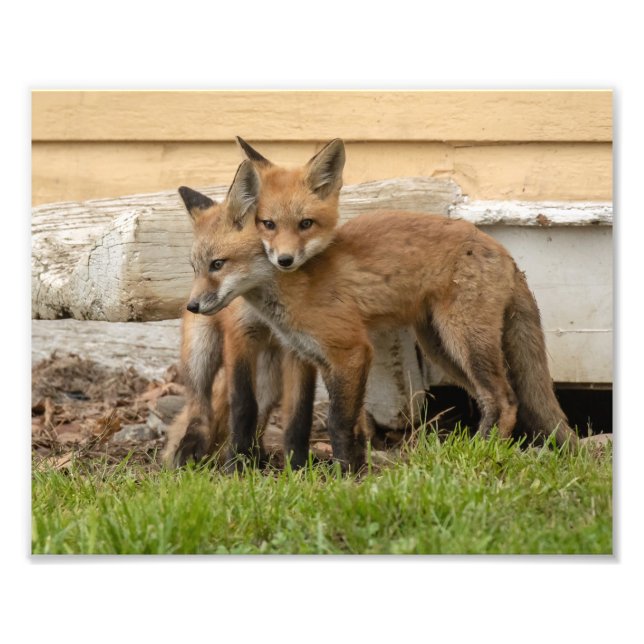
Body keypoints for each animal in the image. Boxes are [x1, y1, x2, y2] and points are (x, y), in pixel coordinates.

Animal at [181, 138, 579, 472]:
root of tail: (502, 250)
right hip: (442, 347)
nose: (192, 306)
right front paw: (346, 466)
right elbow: (335, 422)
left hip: (464, 339)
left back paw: (481, 452)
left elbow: (338, 422)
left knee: (506, 399)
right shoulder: (315, 357)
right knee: (491, 399)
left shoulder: (351, 351)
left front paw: (345, 474)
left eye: (218, 265)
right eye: (196, 267)